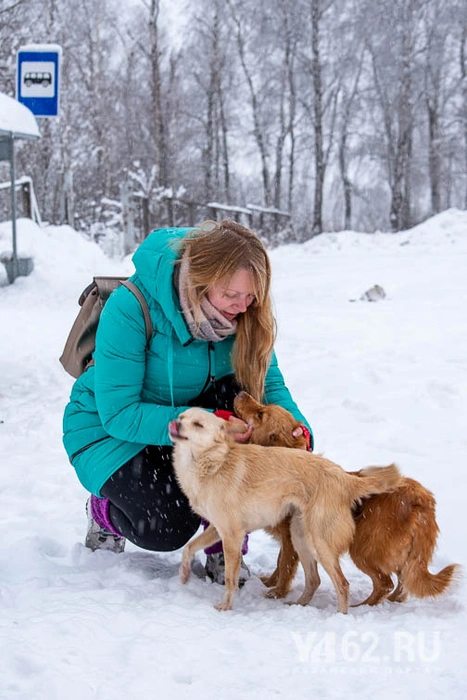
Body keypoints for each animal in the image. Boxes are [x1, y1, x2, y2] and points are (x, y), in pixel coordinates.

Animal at [168, 408, 402, 608]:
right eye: (181, 417)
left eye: (198, 424)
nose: (173, 423)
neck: (212, 463)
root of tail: (345, 478)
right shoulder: (218, 530)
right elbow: (189, 548)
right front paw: (184, 574)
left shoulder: (232, 535)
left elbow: (230, 579)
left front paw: (225, 607)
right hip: (300, 536)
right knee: (314, 580)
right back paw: (299, 605)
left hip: (319, 542)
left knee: (342, 585)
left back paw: (340, 617)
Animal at [236, 392, 458, 604]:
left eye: (261, 414)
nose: (241, 393)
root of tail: (422, 499)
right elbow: (280, 562)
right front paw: (269, 582)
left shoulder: (290, 536)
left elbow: (285, 565)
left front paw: (278, 592)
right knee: (404, 580)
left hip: (363, 548)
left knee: (384, 583)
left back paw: (363, 606)